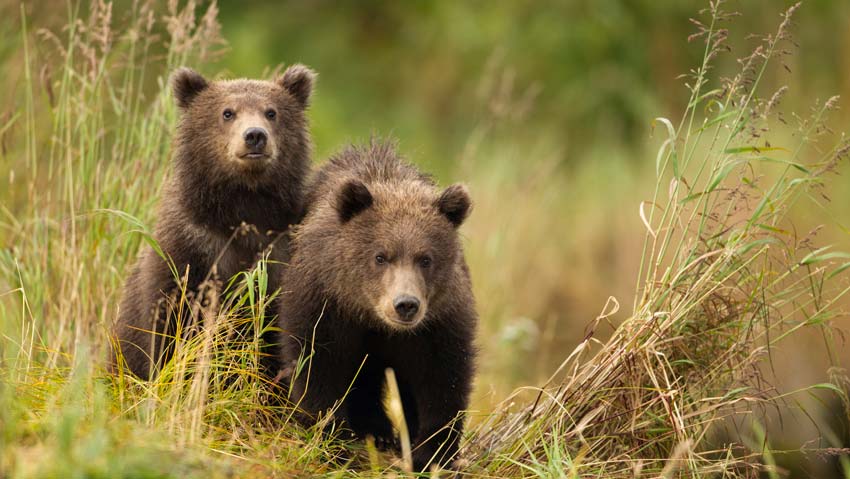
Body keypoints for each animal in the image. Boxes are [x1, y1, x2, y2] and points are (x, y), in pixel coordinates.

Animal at [112, 64, 316, 380]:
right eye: (227, 112)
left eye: (271, 112)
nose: (254, 135)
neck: (242, 207)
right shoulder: (188, 250)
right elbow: (168, 329)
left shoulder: (280, 250)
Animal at [277, 140, 477, 472]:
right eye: (380, 256)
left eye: (426, 258)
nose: (405, 304)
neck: (371, 317)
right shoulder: (325, 307)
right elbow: (317, 368)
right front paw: (332, 439)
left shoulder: (438, 323)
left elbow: (442, 381)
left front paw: (431, 453)